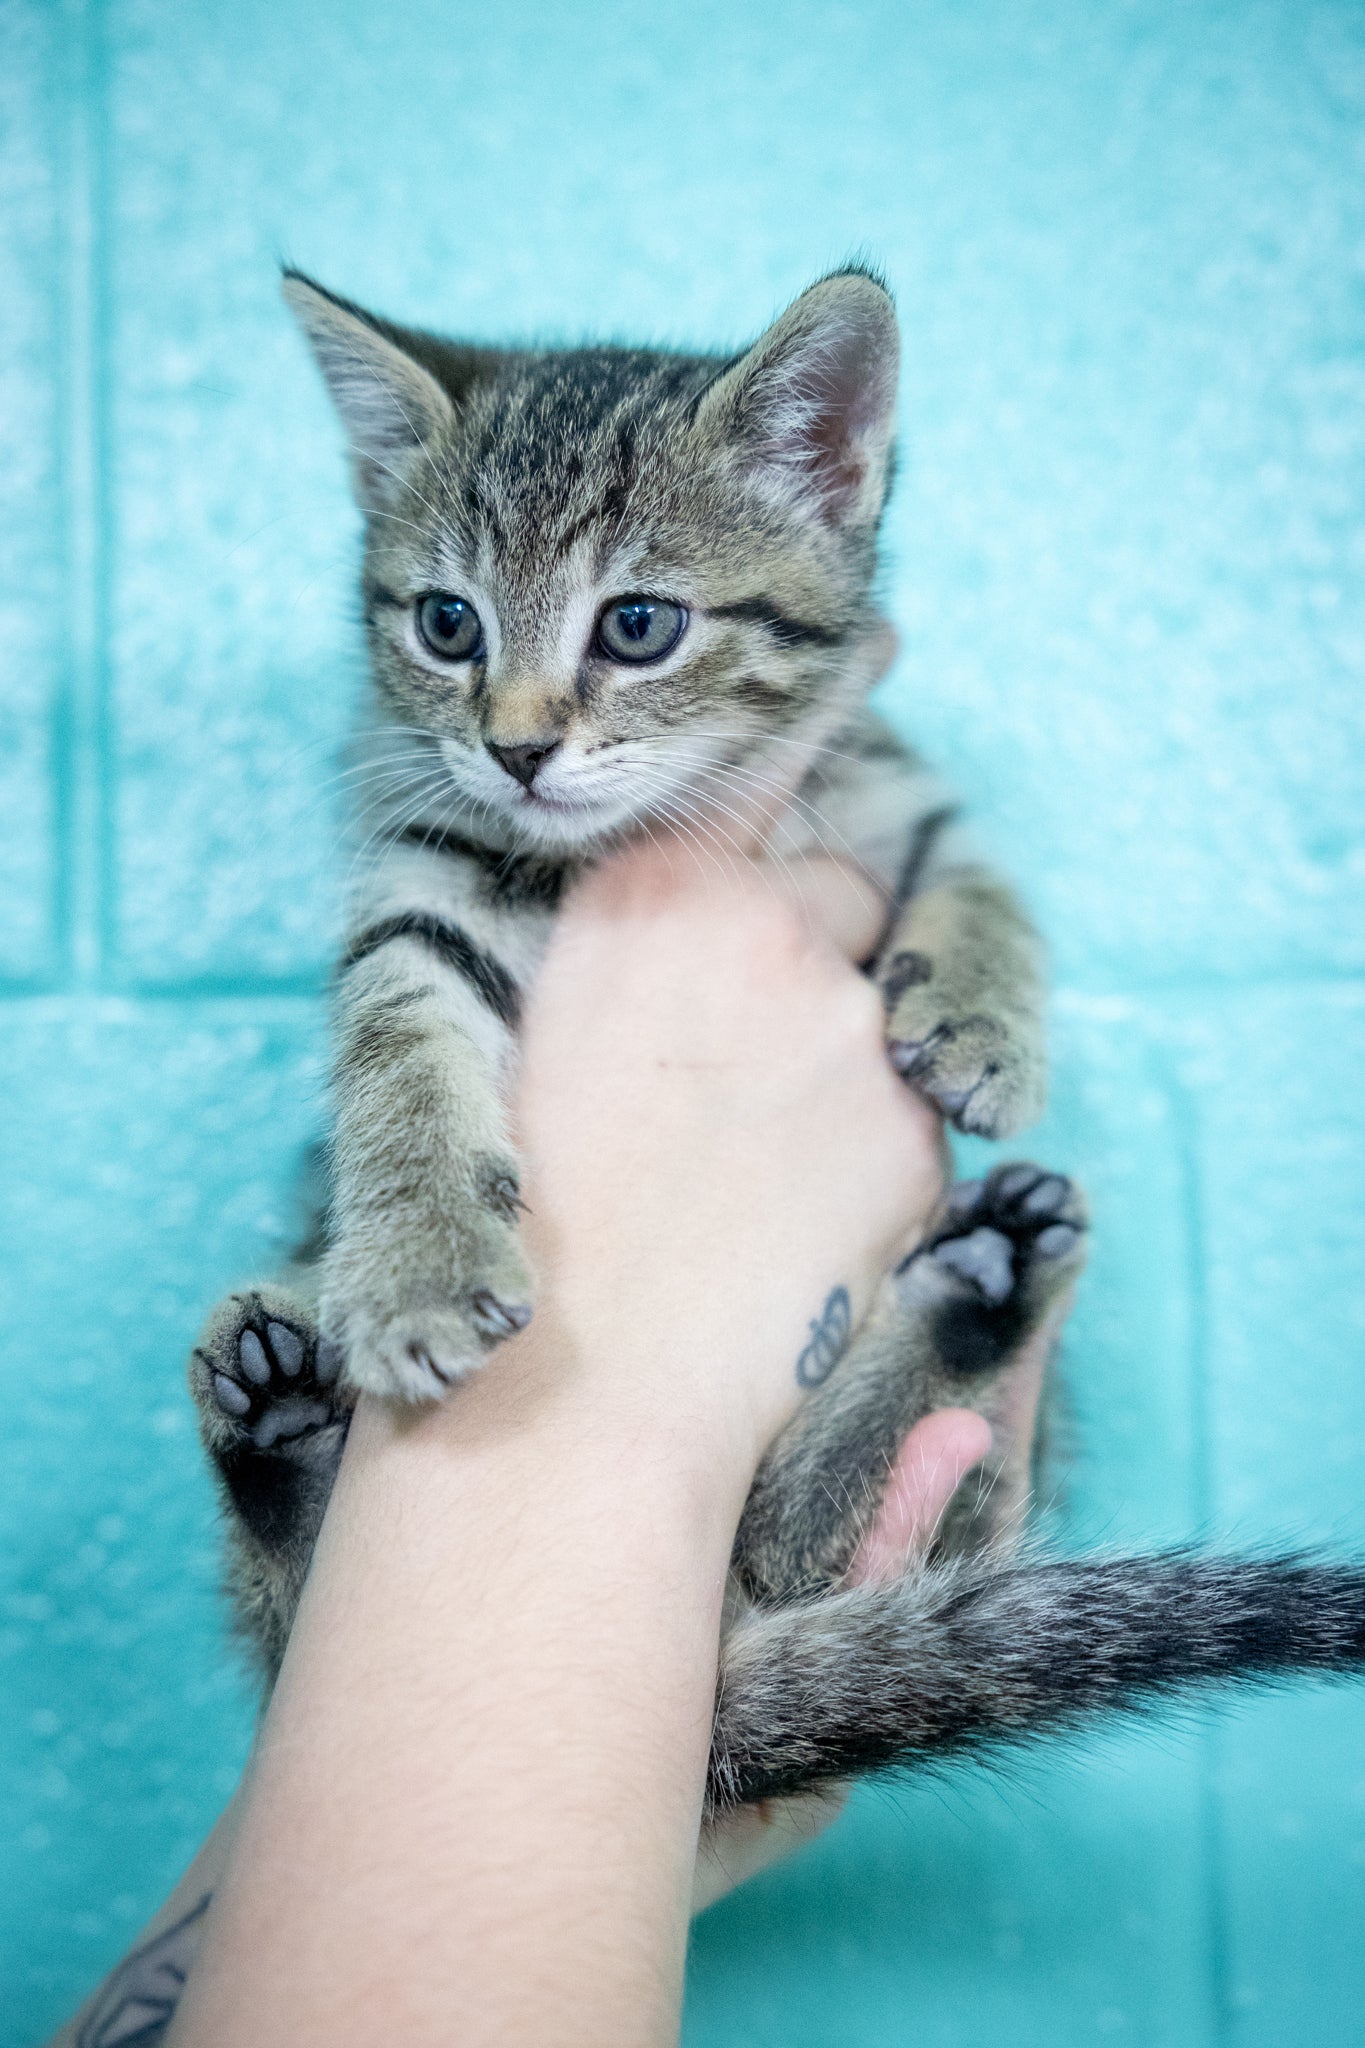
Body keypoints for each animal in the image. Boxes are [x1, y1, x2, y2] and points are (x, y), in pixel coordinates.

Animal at [190, 268, 1365, 1808]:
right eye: (447, 624)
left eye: (637, 626)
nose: (515, 749)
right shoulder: (422, 881)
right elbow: (394, 1042)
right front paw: (420, 1258)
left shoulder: (894, 795)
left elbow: (983, 876)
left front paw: (985, 1017)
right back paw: (279, 1434)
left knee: (851, 1539)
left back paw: (985, 1287)